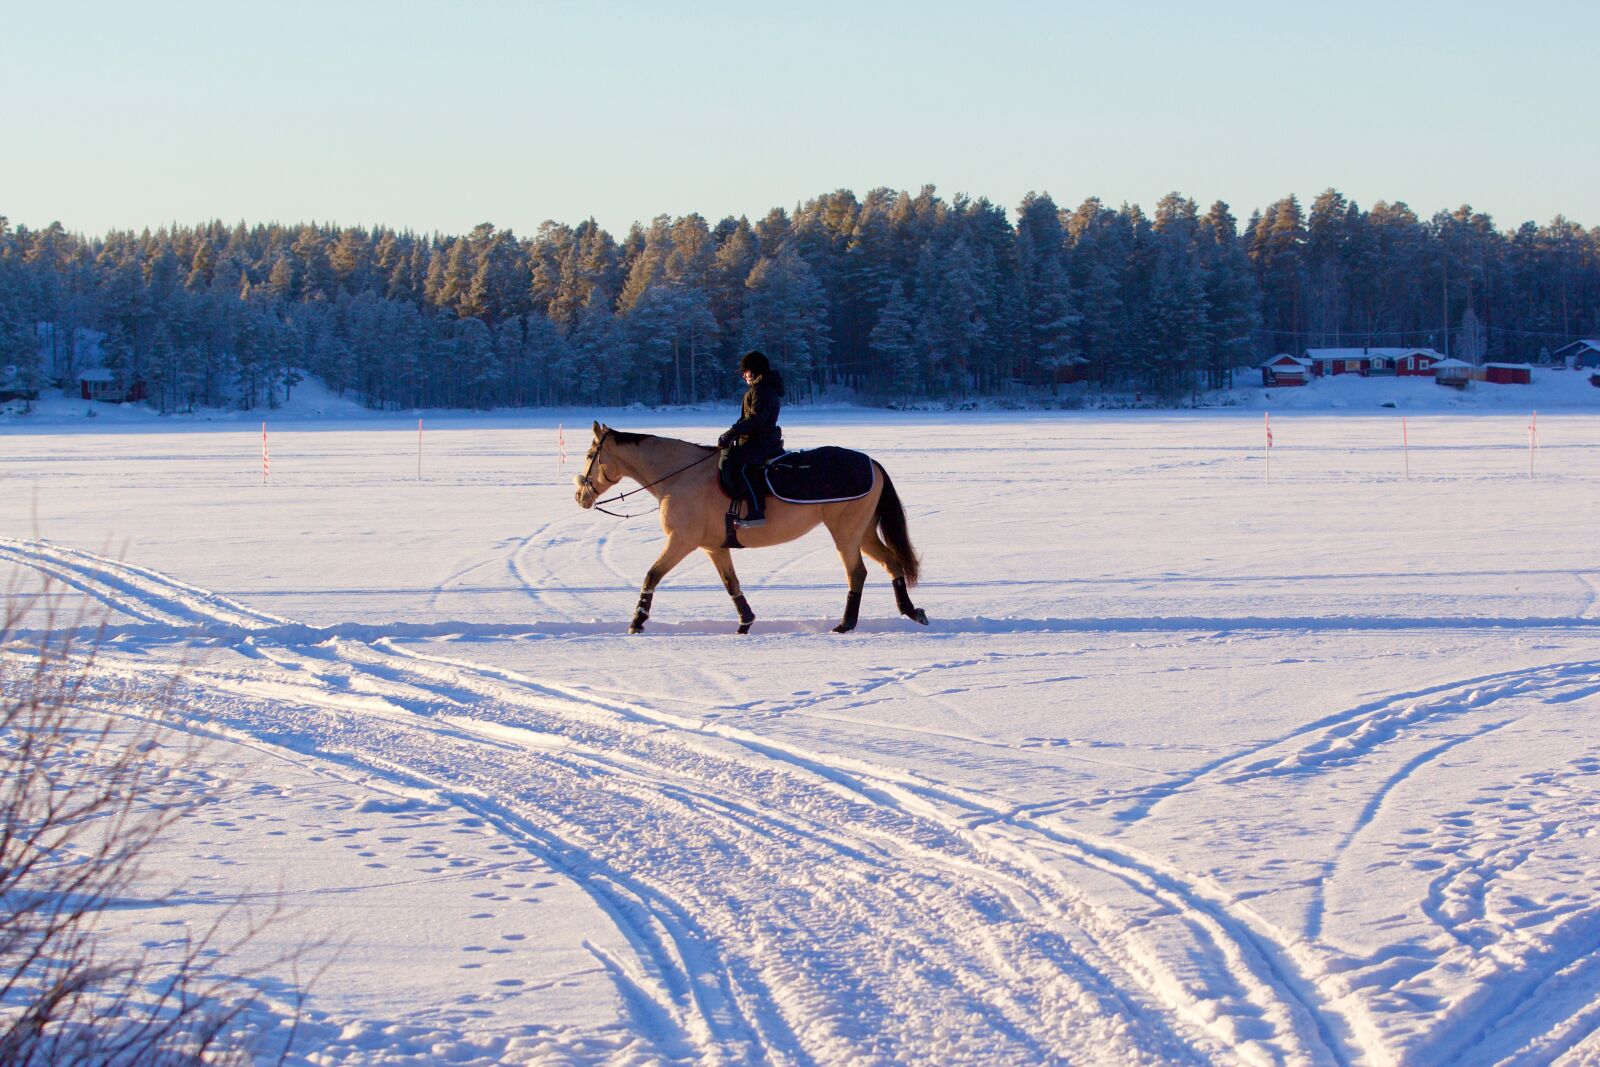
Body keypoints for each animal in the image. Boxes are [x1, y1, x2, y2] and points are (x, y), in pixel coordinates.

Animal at [573, 421, 929, 635]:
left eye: (590, 454)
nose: (580, 497)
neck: (680, 477)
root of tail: (872, 463)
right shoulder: (714, 547)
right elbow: (731, 584)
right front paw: (746, 622)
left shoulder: (681, 541)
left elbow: (652, 575)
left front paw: (637, 621)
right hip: (863, 531)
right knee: (891, 563)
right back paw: (911, 611)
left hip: (846, 532)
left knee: (857, 573)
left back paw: (846, 623)